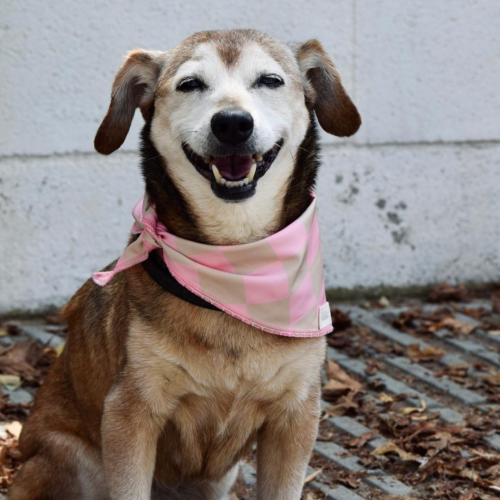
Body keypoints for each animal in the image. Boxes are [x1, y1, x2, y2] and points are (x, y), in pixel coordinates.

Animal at [10, 28, 360, 500]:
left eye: (269, 80)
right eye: (191, 84)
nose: (232, 123)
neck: (235, 266)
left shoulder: (296, 415)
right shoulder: (130, 413)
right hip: (72, 460)